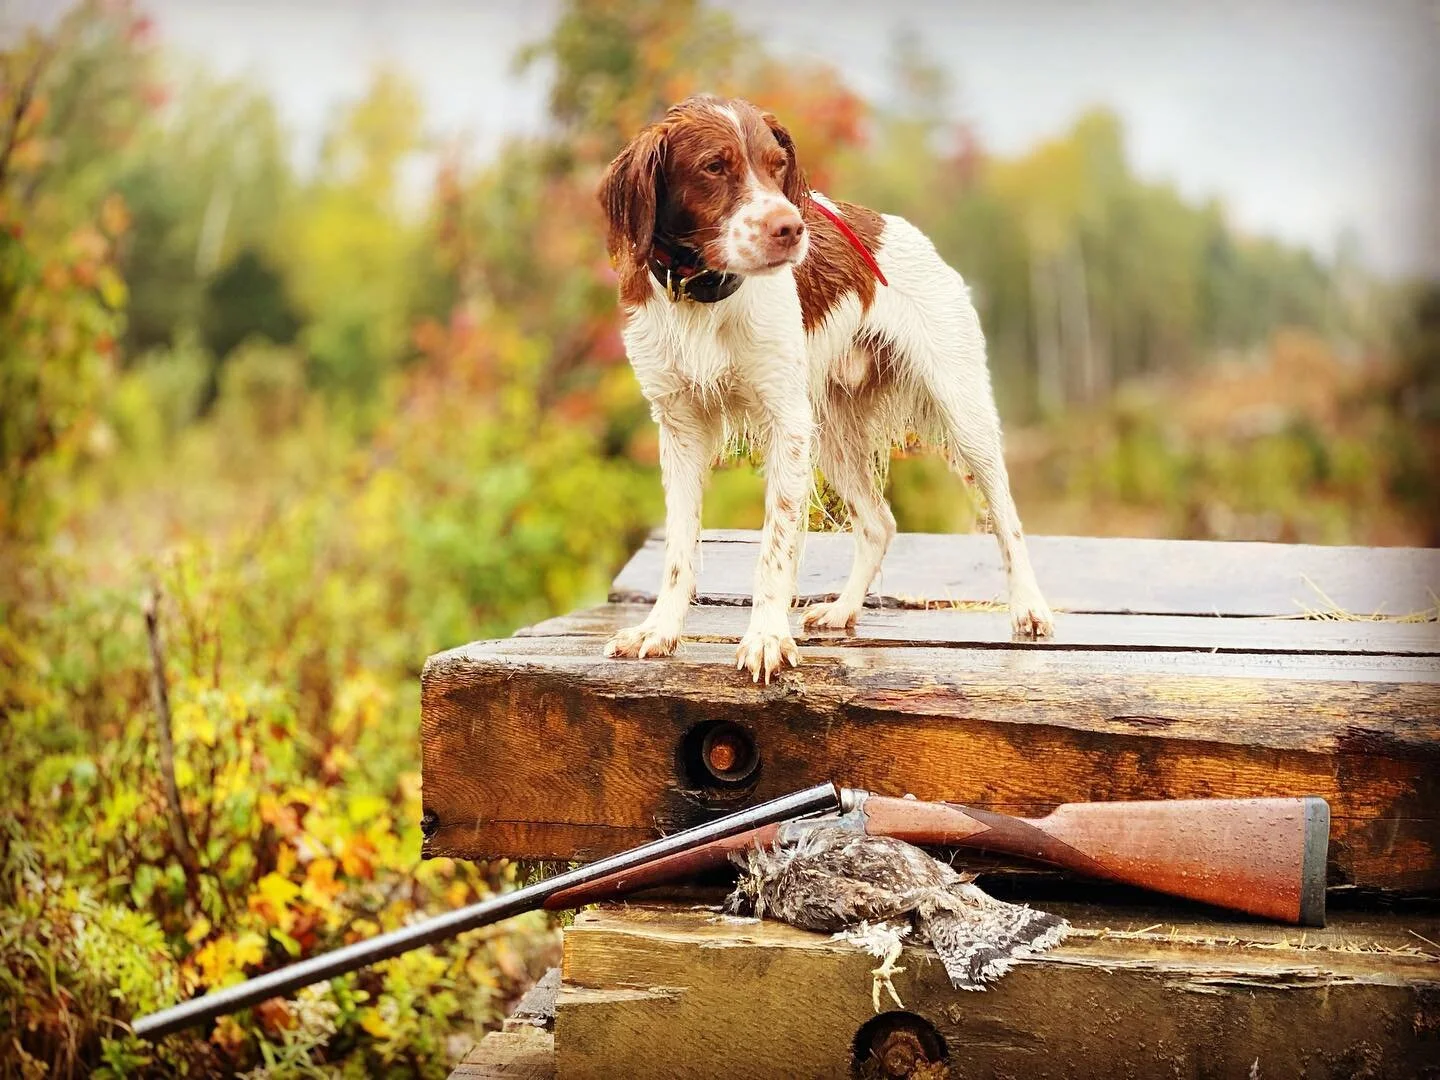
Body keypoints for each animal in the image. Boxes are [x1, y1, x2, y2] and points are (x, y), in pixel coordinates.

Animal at [590, 95, 1054, 685]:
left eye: (777, 165)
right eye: (714, 167)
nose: (789, 228)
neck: (704, 298)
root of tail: (905, 231)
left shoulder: (783, 420)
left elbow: (774, 546)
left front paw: (766, 638)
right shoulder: (680, 424)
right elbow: (678, 548)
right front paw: (660, 631)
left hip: (961, 409)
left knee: (1006, 516)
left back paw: (1030, 608)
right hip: (830, 432)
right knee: (879, 523)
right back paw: (843, 610)